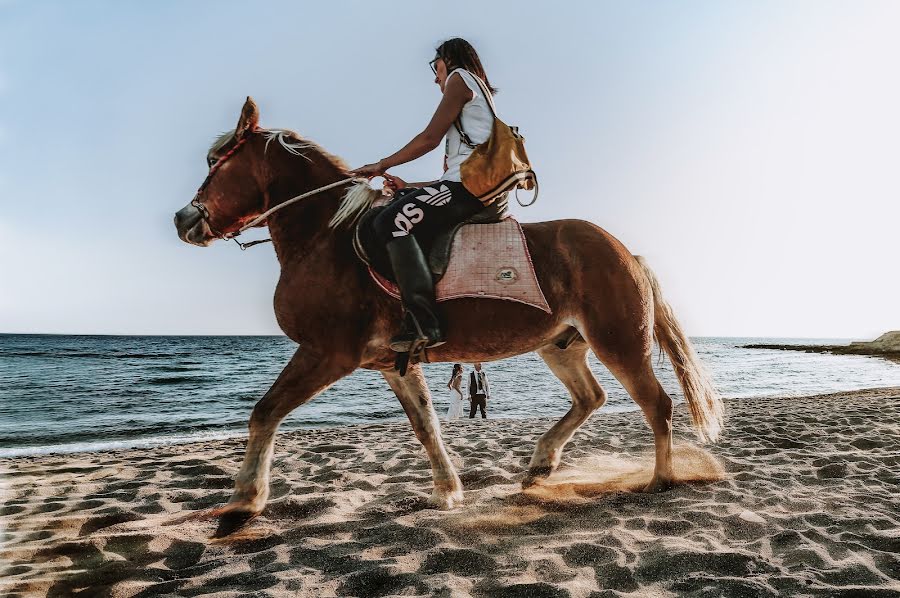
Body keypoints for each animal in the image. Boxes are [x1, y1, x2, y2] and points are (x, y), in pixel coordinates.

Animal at [174, 98, 724, 536]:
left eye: (214, 162)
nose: (184, 219)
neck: (330, 237)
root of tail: (626, 252)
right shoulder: (395, 362)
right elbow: (427, 426)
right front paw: (448, 490)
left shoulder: (326, 353)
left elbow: (265, 411)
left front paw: (244, 501)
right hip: (561, 345)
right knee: (592, 397)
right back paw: (540, 466)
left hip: (620, 341)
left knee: (656, 404)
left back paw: (661, 479)